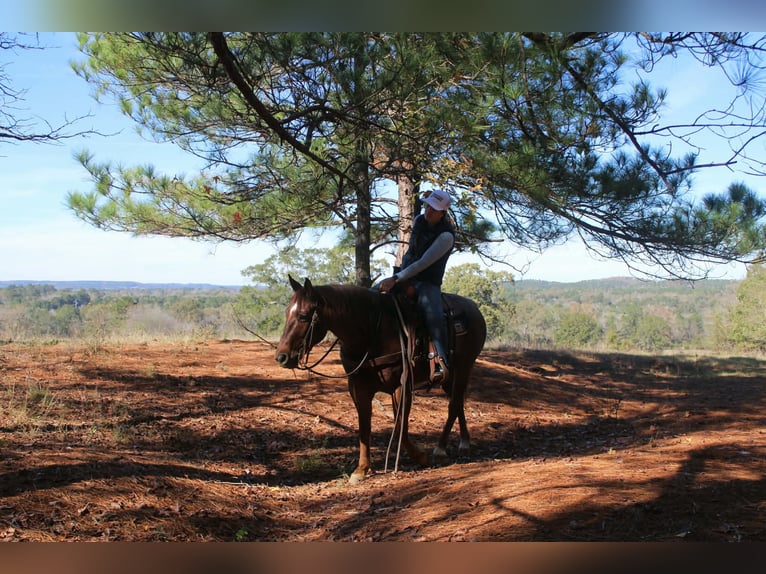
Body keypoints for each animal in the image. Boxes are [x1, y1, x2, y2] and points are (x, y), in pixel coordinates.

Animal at [275, 275, 487, 484]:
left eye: (303, 316)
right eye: (286, 313)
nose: (281, 357)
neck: (372, 332)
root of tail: (474, 308)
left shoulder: (401, 386)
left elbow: (400, 425)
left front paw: (421, 457)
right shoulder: (358, 388)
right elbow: (364, 427)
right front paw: (362, 469)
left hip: (464, 367)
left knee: (454, 404)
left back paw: (441, 448)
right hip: (450, 378)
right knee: (458, 403)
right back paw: (464, 441)